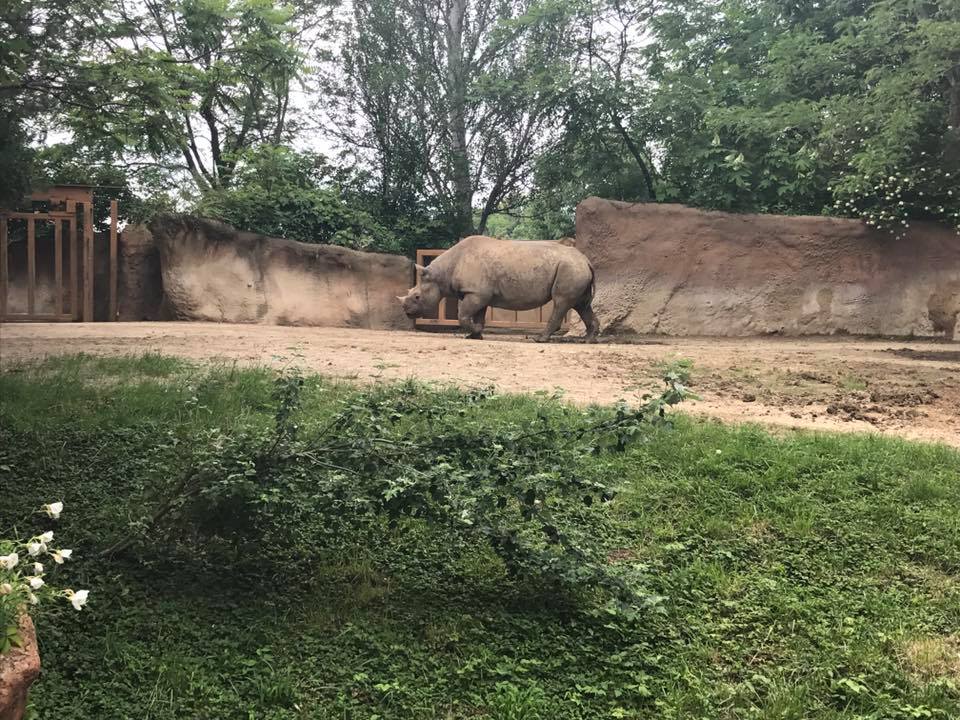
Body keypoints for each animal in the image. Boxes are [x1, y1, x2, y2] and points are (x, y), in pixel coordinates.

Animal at [397, 235, 599, 342]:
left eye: (416, 296)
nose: (406, 312)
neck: (443, 272)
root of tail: (586, 260)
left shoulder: (476, 293)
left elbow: (463, 315)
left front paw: (474, 332)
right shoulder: (480, 294)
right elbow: (478, 315)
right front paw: (475, 335)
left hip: (569, 268)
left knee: (561, 302)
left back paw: (540, 339)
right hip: (575, 268)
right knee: (581, 305)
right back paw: (588, 340)